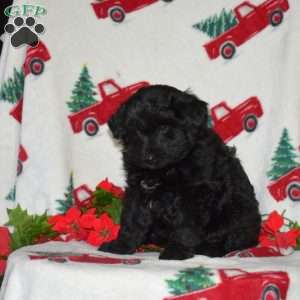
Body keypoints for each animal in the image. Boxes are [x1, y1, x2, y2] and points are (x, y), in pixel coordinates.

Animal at [98, 85, 260, 260]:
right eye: (134, 131)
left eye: (164, 128)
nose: (148, 157)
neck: (168, 168)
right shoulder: (137, 189)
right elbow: (132, 220)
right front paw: (121, 246)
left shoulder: (194, 195)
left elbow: (185, 226)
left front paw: (176, 251)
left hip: (234, 211)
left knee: (230, 238)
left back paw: (209, 249)